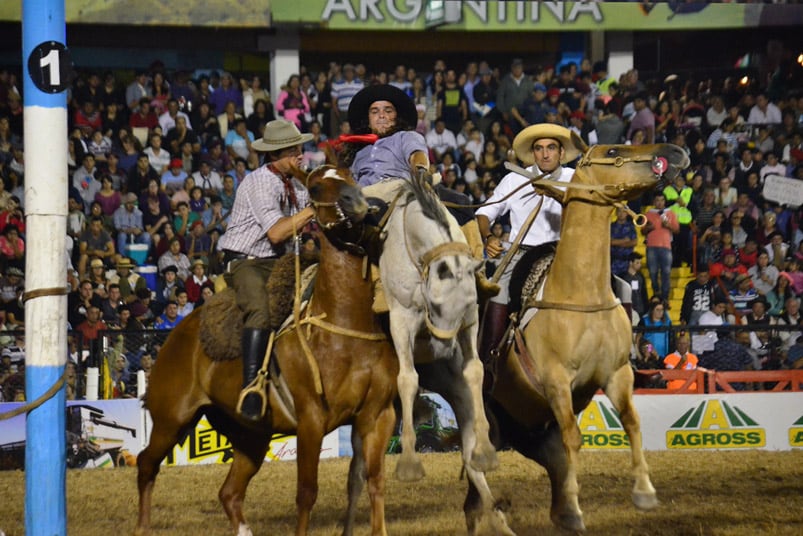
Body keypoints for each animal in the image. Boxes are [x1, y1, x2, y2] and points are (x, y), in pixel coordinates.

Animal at [137, 166, 402, 536]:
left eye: (349, 176)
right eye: (315, 187)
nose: (360, 203)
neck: (344, 325)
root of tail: (175, 336)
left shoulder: (378, 416)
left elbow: (375, 481)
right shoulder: (310, 420)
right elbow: (307, 492)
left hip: (250, 435)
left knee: (229, 492)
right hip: (170, 419)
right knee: (146, 464)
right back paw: (142, 526)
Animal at [378, 174, 512, 532]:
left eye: (464, 304)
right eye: (435, 304)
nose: (441, 349)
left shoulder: (471, 320)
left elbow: (475, 371)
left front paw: (487, 451)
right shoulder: (401, 320)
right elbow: (407, 379)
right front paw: (410, 463)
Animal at [472, 138, 692, 532]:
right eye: (613, 151)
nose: (674, 151)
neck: (580, 294)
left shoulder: (617, 374)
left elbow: (631, 422)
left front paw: (644, 492)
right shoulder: (557, 382)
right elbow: (573, 438)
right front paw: (576, 507)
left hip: (526, 426)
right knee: (477, 467)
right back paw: (499, 517)